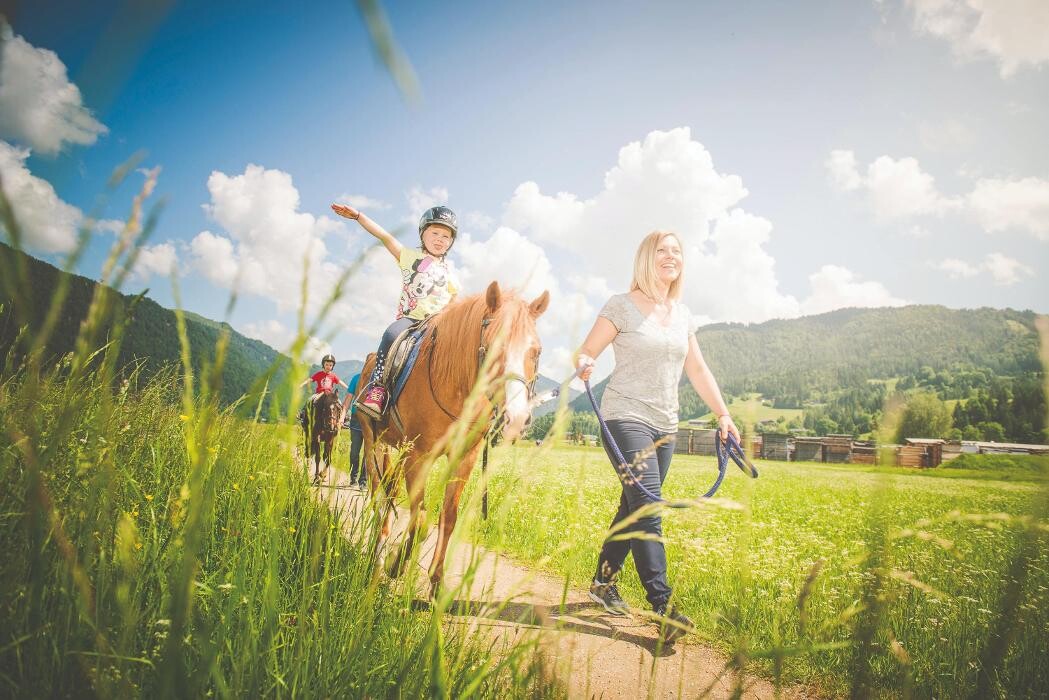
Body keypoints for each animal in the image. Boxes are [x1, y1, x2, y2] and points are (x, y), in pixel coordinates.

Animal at [358, 281, 545, 596]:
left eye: (536, 351)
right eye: (492, 347)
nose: (517, 419)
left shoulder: (464, 459)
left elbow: (448, 518)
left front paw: (436, 583)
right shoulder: (418, 456)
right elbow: (421, 520)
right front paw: (396, 563)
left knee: (389, 490)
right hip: (374, 441)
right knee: (377, 493)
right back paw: (378, 549)